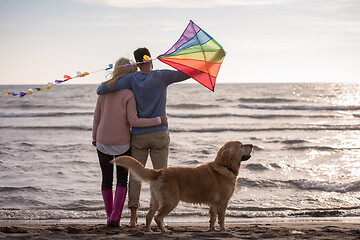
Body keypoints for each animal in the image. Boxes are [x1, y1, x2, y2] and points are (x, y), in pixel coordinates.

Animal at [112, 140, 253, 232]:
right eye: (241, 145)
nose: (252, 145)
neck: (225, 166)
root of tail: (159, 171)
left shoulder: (213, 203)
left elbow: (212, 218)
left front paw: (212, 229)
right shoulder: (223, 202)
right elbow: (222, 218)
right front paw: (223, 230)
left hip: (155, 200)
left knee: (149, 216)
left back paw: (149, 231)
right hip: (171, 201)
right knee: (158, 217)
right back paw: (164, 231)